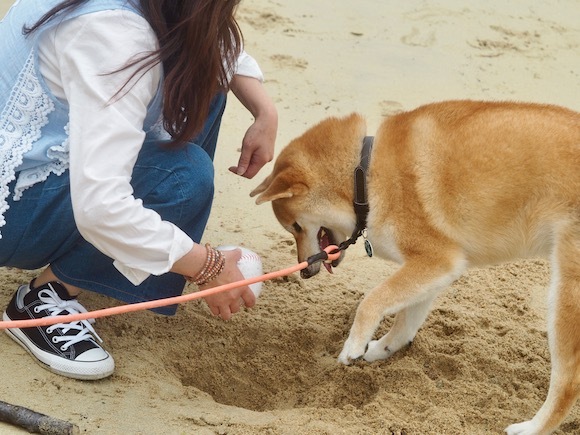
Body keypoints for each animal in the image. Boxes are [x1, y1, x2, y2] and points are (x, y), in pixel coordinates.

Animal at [251, 100, 580, 434]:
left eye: (294, 226)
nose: (304, 271)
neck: (364, 175)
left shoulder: (437, 258)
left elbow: (371, 300)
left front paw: (354, 346)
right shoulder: (433, 269)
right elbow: (406, 320)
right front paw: (380, 349)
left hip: (565, 295)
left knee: (569, 381)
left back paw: (532, 427)